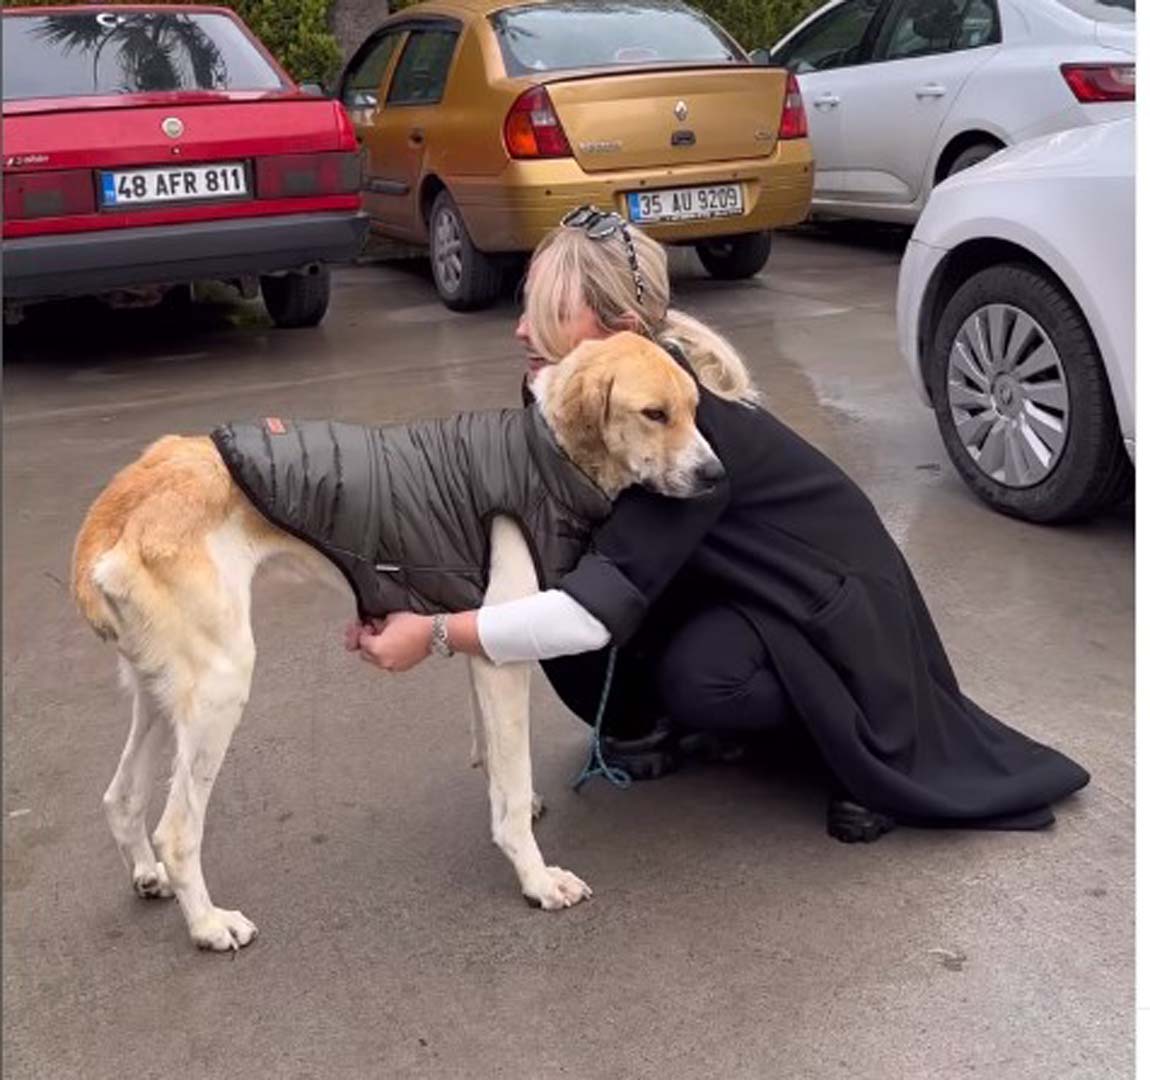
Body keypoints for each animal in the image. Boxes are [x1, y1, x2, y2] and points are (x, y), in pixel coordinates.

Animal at [74, 333, 717, 952]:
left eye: (694, 409)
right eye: (654, 414)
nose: (716, 476)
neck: (545, 454)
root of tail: (125, 497)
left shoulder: (479, 639)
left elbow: (496, 760)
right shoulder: (501, 661)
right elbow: (510, 789)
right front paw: (535, 879)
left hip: (163, 693)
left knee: (120, 798)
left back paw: (148, 874)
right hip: (219, 687)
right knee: (177, 831)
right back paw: (208, 924)